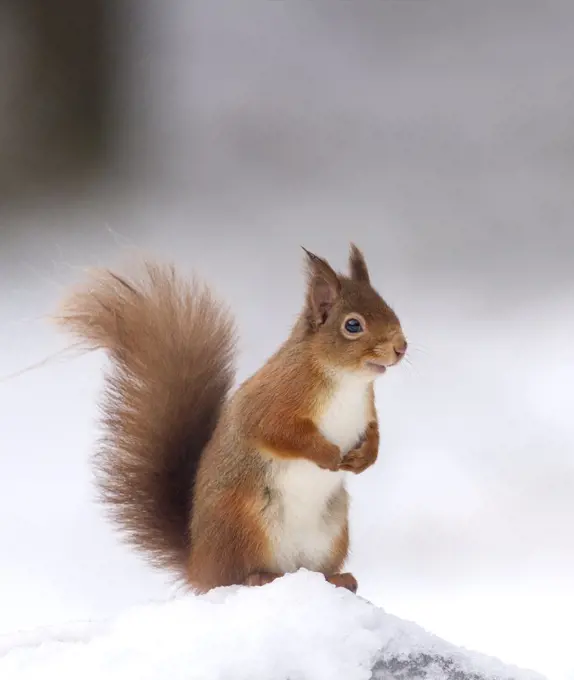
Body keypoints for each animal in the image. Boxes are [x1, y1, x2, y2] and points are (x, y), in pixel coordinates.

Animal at [57, 246, 410, 596]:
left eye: (389, 308)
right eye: (353, 326)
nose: (401, 347)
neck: (346, 381)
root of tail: (199, 566)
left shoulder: (366, 411)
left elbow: (374, 434)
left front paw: (365, 458)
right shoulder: (273, 402)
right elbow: (279, 433)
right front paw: (328, 455)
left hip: (331, 532)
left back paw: (338, 579)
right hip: (243, 524)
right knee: (235, 576)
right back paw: (261, 577)